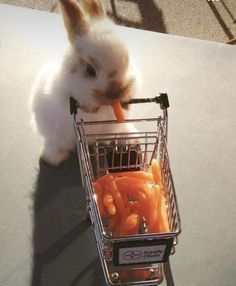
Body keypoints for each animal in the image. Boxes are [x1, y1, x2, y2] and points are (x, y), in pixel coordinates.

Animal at [30, 0, 139, 165]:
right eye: (90, 70)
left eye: (127, 60)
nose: (115, 94)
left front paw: (123, 103)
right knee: (57, 142)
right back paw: (53, 156)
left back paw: (129, 138)